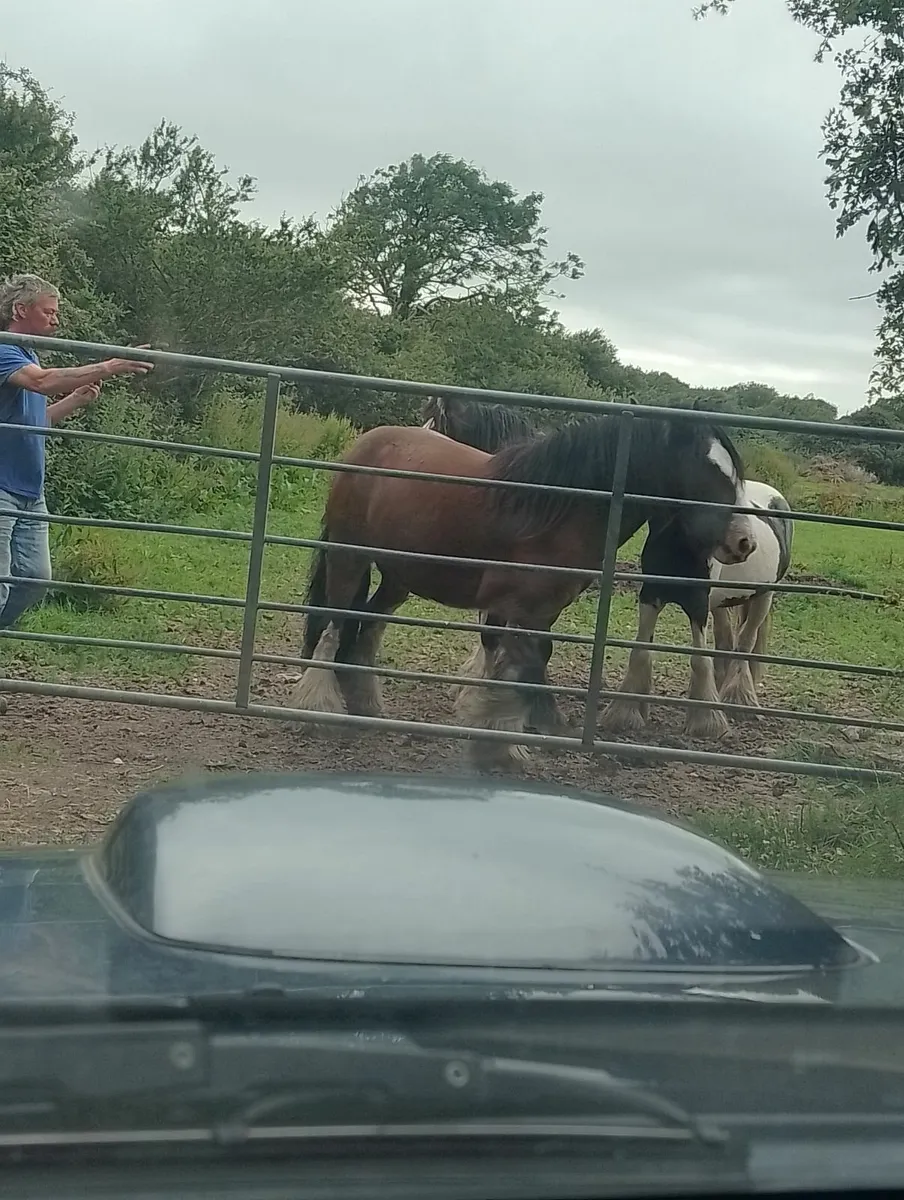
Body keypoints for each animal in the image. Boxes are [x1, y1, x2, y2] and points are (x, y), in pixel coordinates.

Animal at [288, 413, 756, 770]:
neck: (561, 507)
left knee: (366, 625)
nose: (745, 542)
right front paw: (507, 741)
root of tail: (364, 445)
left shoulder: (540, 610)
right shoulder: (522, 608)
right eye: (706, 470)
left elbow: (520, 665)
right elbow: (522, 667)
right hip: (348, 559)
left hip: (398, 577)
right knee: (334, 623)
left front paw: (504, 730)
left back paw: (365, 705)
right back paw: (319, 711)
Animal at [601, 480, 793, 738]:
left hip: (763, 597)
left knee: (745, 642)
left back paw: (738, 701)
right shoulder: (651, 596)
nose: (744, 543)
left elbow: (699, 659)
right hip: (722, 604)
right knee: (725, 642)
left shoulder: (698, 605)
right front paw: (627, 714)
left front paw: (706, 722)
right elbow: (641, 651)